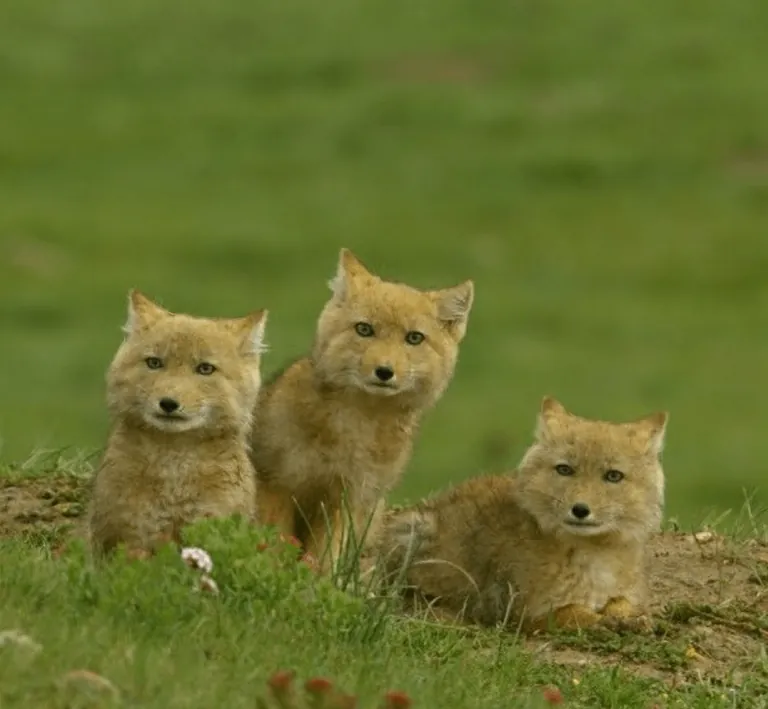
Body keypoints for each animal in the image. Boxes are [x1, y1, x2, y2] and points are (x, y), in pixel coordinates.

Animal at [250, 248, 474, 570]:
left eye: (414, 338)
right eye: (364, 329)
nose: (384, 371)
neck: (353, 429)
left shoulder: (347, 501)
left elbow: (324, 562)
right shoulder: (277, 486)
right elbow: (275, 551)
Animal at [375, 396, 668, 632]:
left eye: (613, 476)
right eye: (565, 470)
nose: (580, 510)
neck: (594, 557)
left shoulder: (623, 594)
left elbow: (624, 604)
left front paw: (632, 619)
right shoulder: (527, 613)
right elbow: (577, 613)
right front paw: (605, 621)